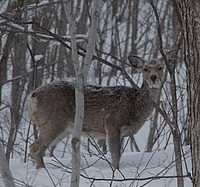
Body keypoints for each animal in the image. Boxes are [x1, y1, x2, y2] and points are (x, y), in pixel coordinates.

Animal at [26, 55, 166, 169]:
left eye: (160, 67)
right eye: (145, 69)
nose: (153, 77)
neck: (135, 106)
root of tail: (32, 97)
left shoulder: (122, 133)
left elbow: (118, 155)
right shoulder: (112, 123)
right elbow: (115, 157)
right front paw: (116, 172)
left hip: (64, 129)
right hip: (53, 121)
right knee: (35, 148)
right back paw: (42, 170)